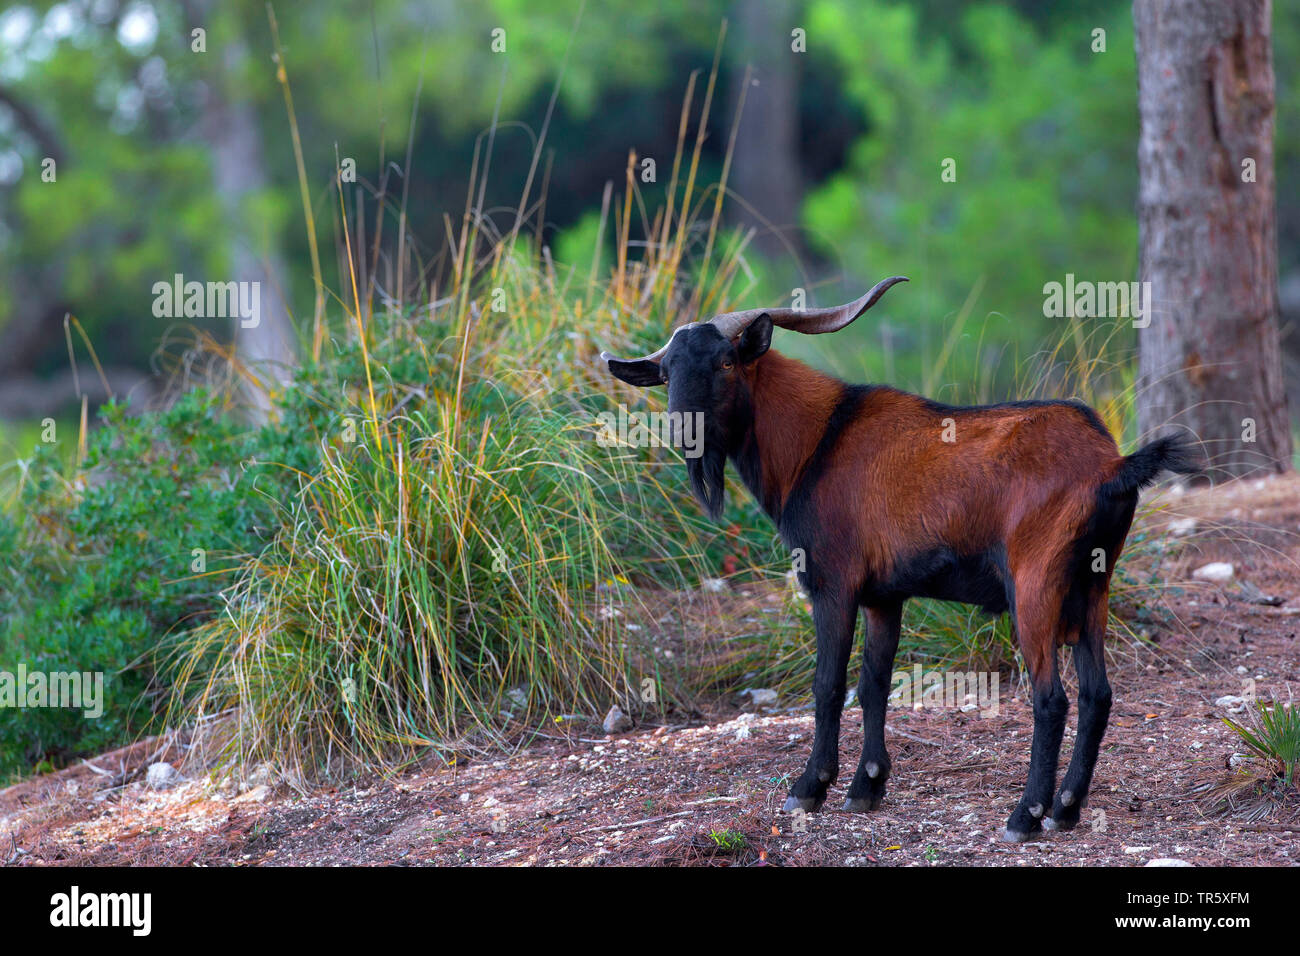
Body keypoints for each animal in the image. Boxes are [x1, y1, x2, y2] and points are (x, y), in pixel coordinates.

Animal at [602, 276, 1198, 841]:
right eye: (667, 373)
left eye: (725, 362)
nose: (684, 433)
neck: (818, 442)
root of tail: (1111, 465)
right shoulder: (884, 596)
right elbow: (874, 684)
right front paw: (867, 786)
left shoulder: (833, 583)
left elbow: (828, 684)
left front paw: (810, 788)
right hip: (1093, 586)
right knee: (1099, 695)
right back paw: (1066, 811)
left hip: (1036, 587)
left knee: (1052, 700)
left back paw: (1024, 818)